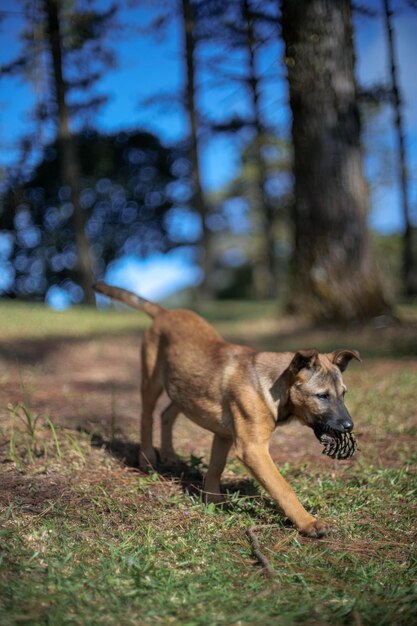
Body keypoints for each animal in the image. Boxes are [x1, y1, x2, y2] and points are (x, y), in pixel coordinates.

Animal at [93, 280, 358, 532]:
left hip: (184, 389)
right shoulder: (252, 448)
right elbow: (282, 488)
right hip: (152, 380)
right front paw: (308, 523)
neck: (272, 386)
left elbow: (215, 468)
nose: (349, 426)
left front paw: (213, 501)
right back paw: (147, 458)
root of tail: (165, 313)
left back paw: (169, 455)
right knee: (146, 416)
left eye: (343, 394)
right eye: (322, 396)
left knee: (167, 414)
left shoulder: (224, 436)